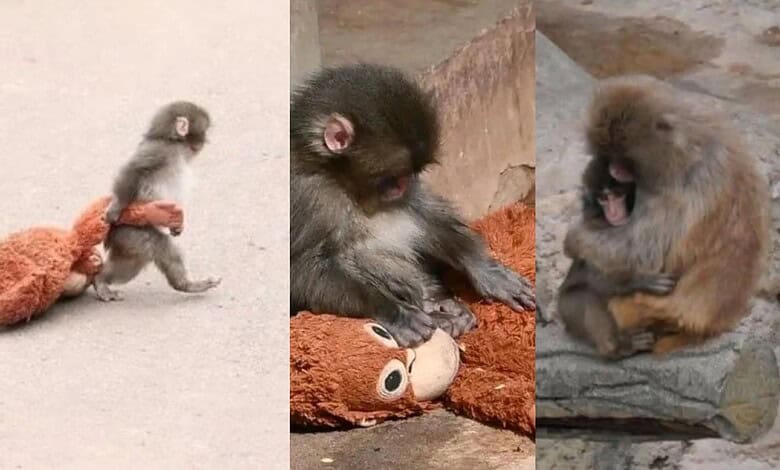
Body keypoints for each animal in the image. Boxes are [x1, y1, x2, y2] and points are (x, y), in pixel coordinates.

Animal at [93, 101, 221, 301]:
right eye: (205, 130)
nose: (205, 141)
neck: (173, 143)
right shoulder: (159, 151)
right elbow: (134, 170)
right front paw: (116, 207)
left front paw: (177, 226)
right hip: (130, 232)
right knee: (161, 247)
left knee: (130, 265)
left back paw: (102, 278)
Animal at [290, 63, 535, 347]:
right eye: (392, 178)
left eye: (410, 174)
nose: (404, 186)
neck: (340, 180)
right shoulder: (307, 195)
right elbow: (303, 270)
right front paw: (394, 312)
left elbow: (423, 212)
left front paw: (485, 268)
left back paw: (439, 302)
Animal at [563, 77, 770, 354]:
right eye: (610, 154)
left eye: (623, 157)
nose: (614, 169)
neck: (687, 144)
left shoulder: (679, 184)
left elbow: (642, 250)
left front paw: (574, 238)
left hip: (634, 308)